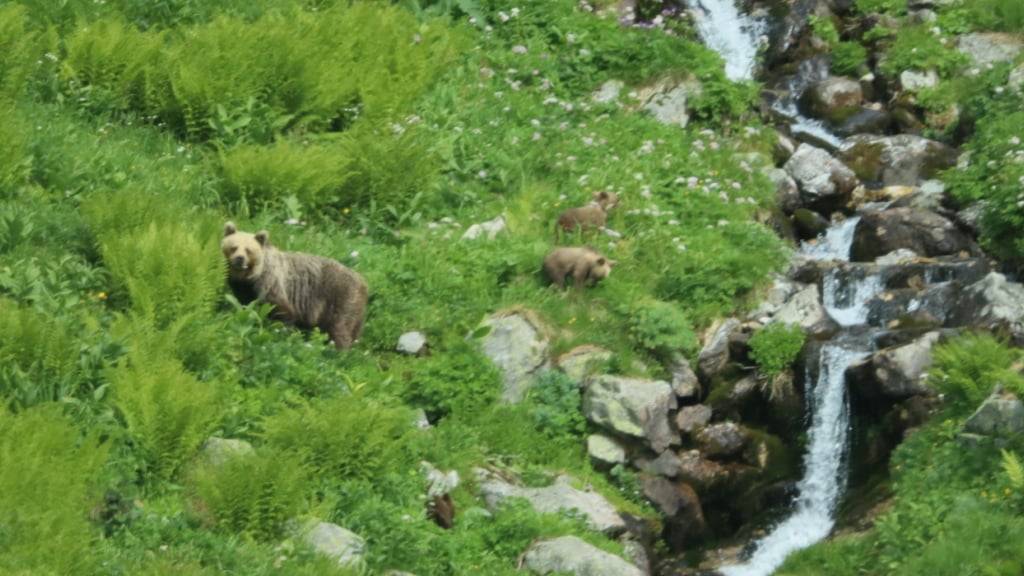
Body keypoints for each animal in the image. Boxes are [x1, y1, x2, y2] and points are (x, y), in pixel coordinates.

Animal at [221, 222, 368, 350]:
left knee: (340, 327)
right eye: (233, 247)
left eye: (248, 250)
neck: (250, 276)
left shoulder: (270, 282)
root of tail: (363, 282)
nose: (239, 259)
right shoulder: (243, 288)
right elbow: (244, 304)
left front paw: (283, 333)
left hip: (341, 298)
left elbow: (281, 309)